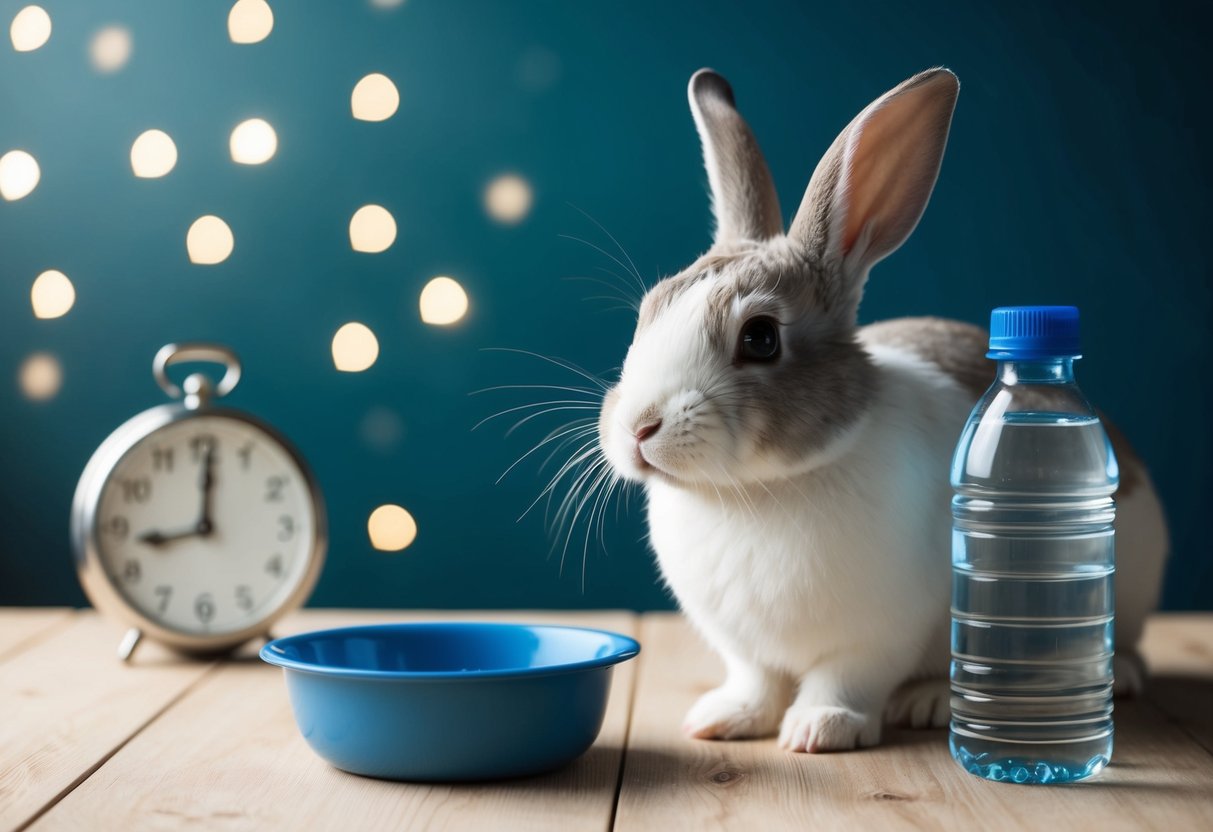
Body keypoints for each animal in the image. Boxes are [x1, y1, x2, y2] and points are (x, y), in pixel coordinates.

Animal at [596, 67, 1169, 752]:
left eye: (760, 338)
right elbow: (756, 681)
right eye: (650, 309)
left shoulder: (878, 635)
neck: (760, 490)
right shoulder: (744, 648)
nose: (637, 428)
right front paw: (722, 720)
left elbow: (845, 681)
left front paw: (818, 730)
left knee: (1112, 647)